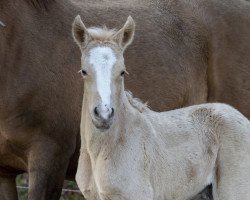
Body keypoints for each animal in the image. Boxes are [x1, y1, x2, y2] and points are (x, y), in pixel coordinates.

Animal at [71, 16, 250, 200]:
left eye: (122, 72)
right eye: (84, 71)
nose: (104, 115)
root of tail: (242, 119)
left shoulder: (138, 194)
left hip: (235, 189)